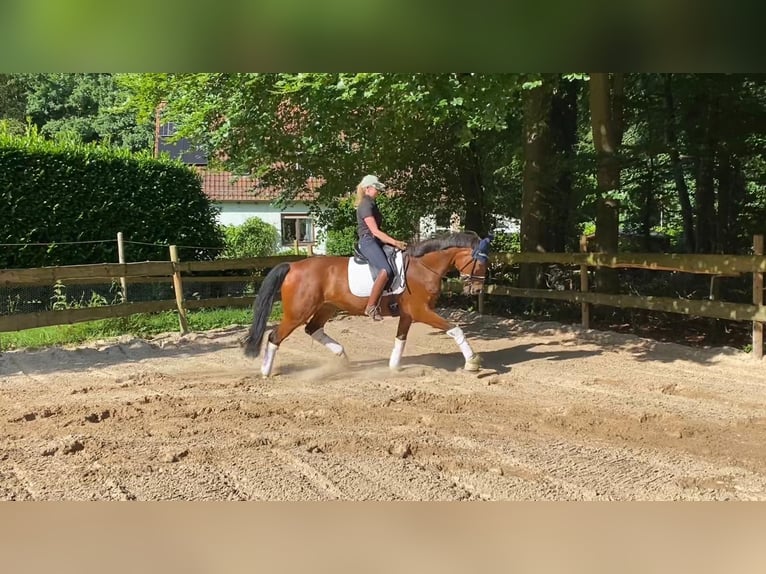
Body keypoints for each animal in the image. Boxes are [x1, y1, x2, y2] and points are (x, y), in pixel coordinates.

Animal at [242, 232, 492, 380]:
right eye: (481, 262)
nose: (477, 290)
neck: (422, 268)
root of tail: (293, 266)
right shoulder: (422, 312)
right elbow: (455, 329)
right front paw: (472, 362)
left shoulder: (408, 315)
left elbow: (400, 340)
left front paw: (393, 368)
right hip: (297, 313)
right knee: (275, 336)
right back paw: (265, 372)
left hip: (327, 308)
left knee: (313, 329)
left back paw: (342, 356)